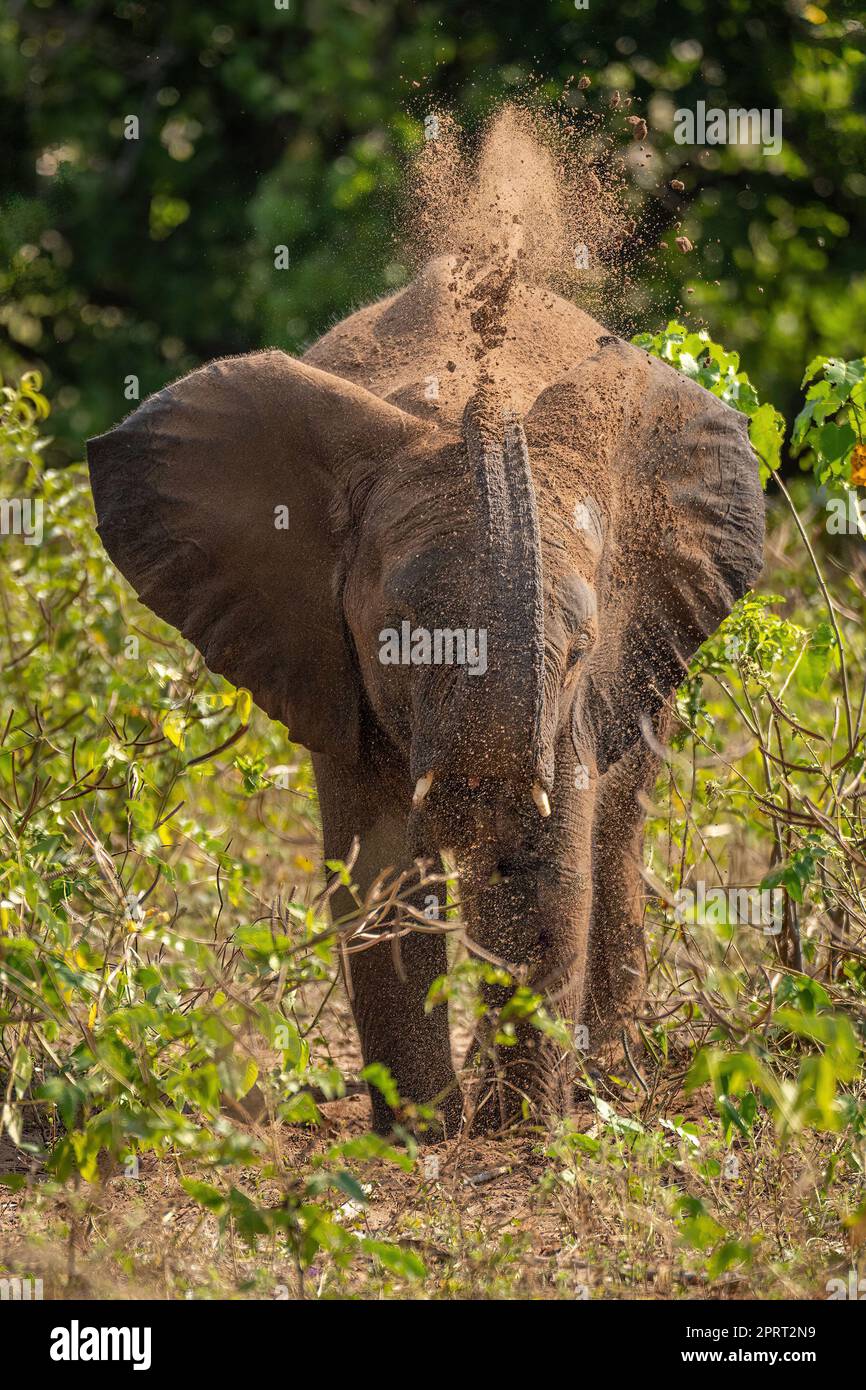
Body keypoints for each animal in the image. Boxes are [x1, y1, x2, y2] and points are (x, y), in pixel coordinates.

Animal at [87, 245, 764, 1139]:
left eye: (580, 651)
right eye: (402, 636)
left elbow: (547, 873)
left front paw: (519, 1131)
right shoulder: (333, 669)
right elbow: (380, 876)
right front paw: (422, 1135)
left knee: (617, 834)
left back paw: (606, 1077)